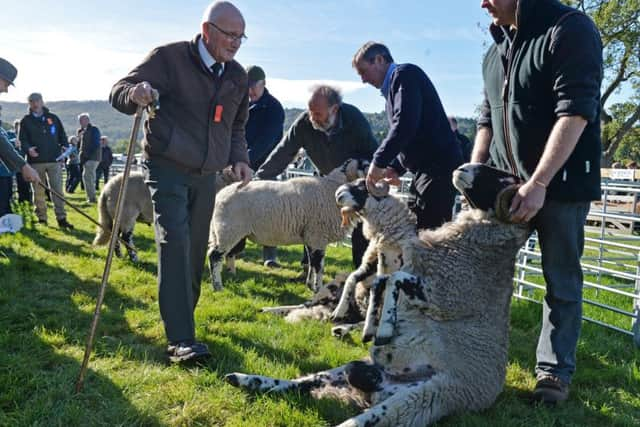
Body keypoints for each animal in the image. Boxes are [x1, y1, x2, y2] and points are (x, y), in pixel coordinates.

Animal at [92, 169, 235, 262]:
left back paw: (119, 255)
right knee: (125, 236)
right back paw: (134, 258)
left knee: (115, 234)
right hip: (127, 212)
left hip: (118, 214)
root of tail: (106, 189)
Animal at [208, 159, 368, 292]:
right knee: (214, 256)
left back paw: (231, 275)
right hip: (228, 230)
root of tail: (220, 196)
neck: (330, 189)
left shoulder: (310, 237)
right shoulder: (317, 236)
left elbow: (311, 262)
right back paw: (218, 286)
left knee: (226, 254)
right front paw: (318, 289)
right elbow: (318, 266)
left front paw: (310, 285)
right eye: (365, 165)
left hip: (225, 232)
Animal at [224, 164, 528, 427]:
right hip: (344, 350)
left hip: (420, 398)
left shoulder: (432, 290)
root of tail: (381, 386)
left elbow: (388, 284)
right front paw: (370, 324)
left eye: (504, 178)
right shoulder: (374, 268)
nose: (338, 194)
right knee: (305, 373)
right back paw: (247, 371)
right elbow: (371, 283)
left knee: (357, 417)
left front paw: (376, 328)